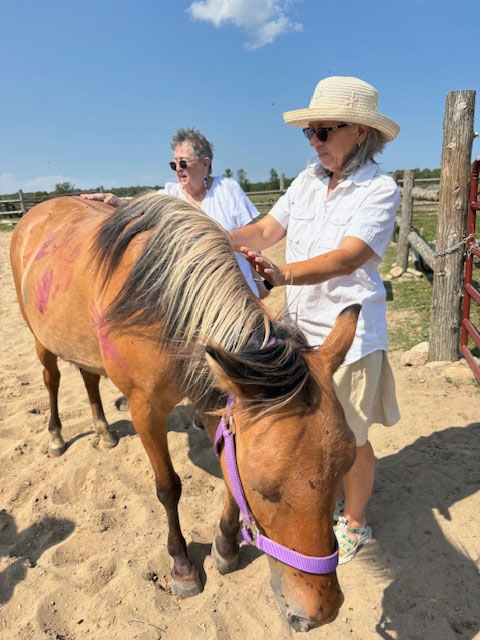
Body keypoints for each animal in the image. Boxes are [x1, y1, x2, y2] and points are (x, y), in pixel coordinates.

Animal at [10, 193, 359, 631]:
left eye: (345, 468)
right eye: (263, 489)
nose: (322, 611)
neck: (166, 304)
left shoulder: (213, 400)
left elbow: (226, 472)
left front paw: (225, 546)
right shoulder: (145, 408)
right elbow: (168, 488)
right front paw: (182, 566)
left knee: (88, 378)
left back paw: (103, 431)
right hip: (39, 339)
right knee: (52, 379)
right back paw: (56, 436)